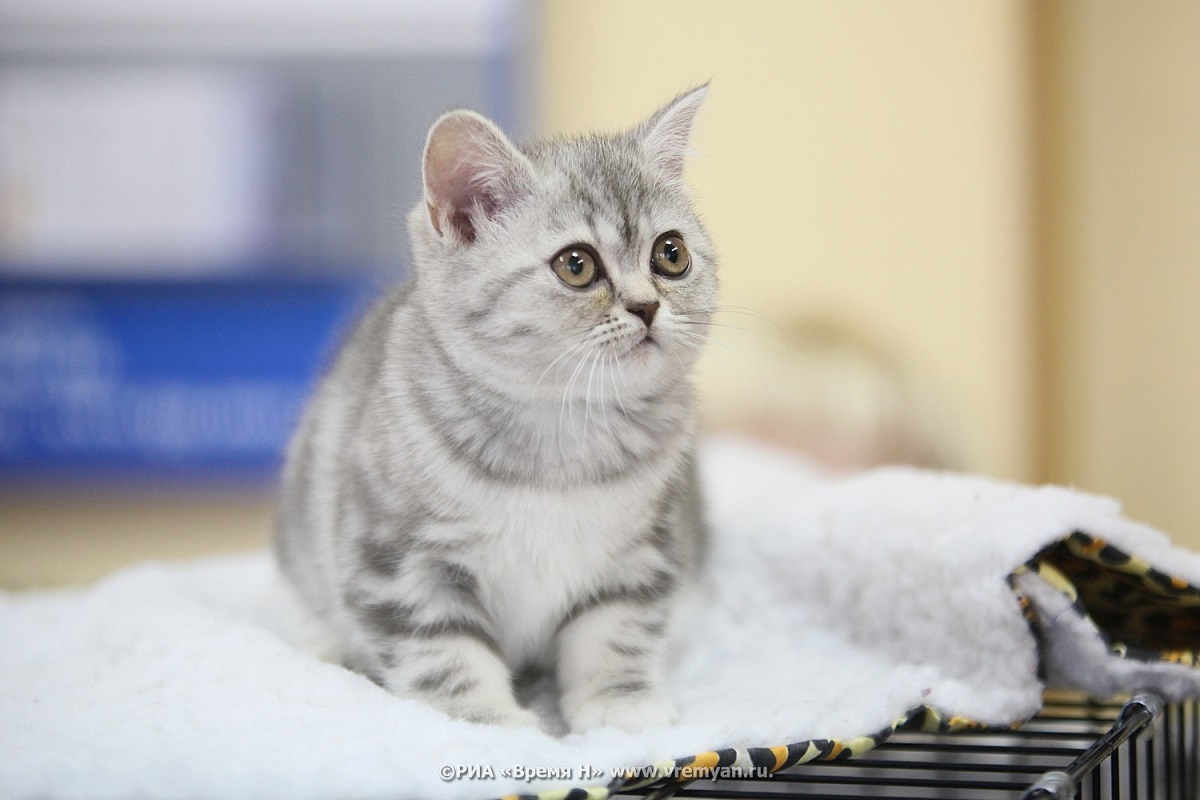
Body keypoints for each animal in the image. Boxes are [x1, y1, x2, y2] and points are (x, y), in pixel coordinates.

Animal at [274, 86, 710, 734]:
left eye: (671, 254)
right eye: (576, 265)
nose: (647, 306)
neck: (562, 433)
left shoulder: (643, 549)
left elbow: (615, 631)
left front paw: (620, 705)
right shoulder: (400, 562)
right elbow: (443, 653)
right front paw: (486, 723)